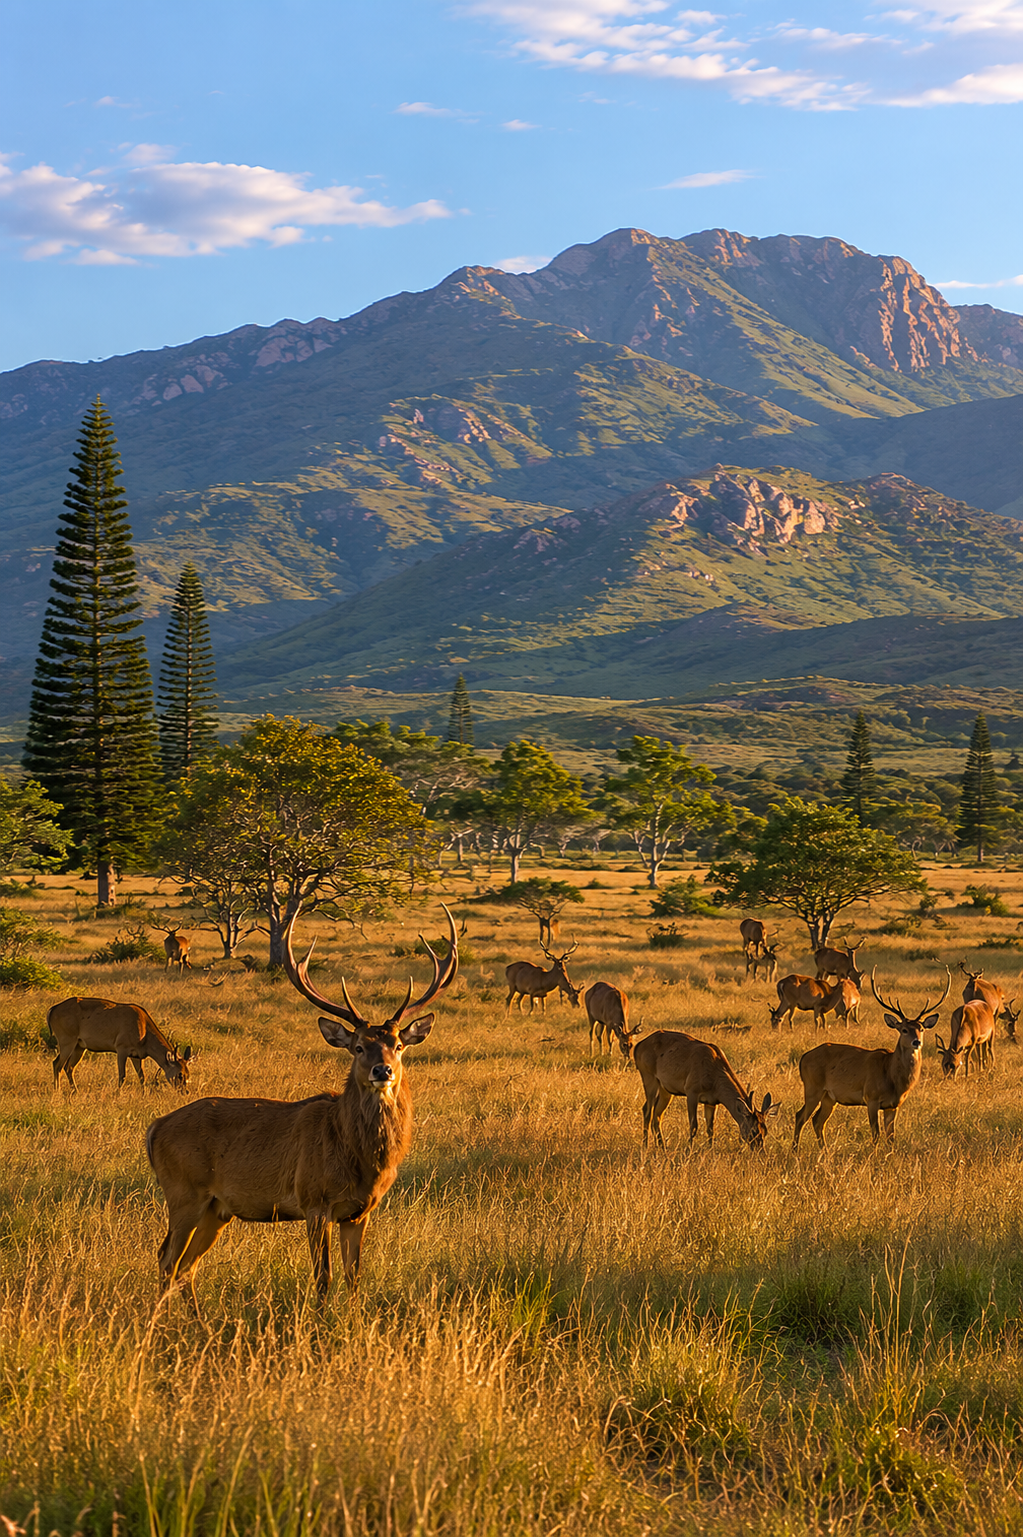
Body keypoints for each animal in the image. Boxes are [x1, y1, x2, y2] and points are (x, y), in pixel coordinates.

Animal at [49, 997, 192, 1092]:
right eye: (180, 1074)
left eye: (188, 1073)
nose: (185, 1091)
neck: (144, 1030)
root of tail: (52, 1010)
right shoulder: (122, 1049)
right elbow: (122, 1076)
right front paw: (117, 1094)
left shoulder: (136, 1055)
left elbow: (142, 1076)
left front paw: (143, 1094)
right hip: (67, 1040)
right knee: (57, 1064)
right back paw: (57, 1091)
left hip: (79, 1046)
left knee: (68, 1067)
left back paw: (74, 1091)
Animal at [145, 907, 458, 1314]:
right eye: (358, 1046)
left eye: (399, 1045)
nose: (383, 1070)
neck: (359, 1158)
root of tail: (155, 1129)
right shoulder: (314, 1200)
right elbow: (323, 1276)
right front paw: (321, 1323)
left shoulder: (359, 1212)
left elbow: (354, 1277)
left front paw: (353, 1321)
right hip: (184, 1190)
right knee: (167, 1258)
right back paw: (157, 1322)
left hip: (217, 1208)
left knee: (186, 1266)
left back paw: (195, 1322)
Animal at [634, 1030, 777, 1151]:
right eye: (753, 1131)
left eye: (765, 1131)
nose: (760, 1150)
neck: (715, 1079)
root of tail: (638, 1046)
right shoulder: (691, 1090)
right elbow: (693, 1125)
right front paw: (689, 1150)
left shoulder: (711, 1101)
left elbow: (710, 1128)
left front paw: (710, 1150)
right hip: (648, 1076)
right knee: (647, 1110)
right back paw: (645, 1146)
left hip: (666, 1089)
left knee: (657, 1114)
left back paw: (662, 1146)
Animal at [792, 967, 951, 1149]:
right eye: (903, 1029)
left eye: (922, 1029)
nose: (916, 1042)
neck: (892, 1078)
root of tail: (803, 1058)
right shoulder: (871, 1097)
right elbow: (876, 1134)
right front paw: (874, 1154)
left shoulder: (893, 1105)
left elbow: (891, 1137)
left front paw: (890, 1154)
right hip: (812, 1087)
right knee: (800, 1116)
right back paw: (795, 1150)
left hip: (829, 1097)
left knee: (818, 1121)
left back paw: (824, 1151)